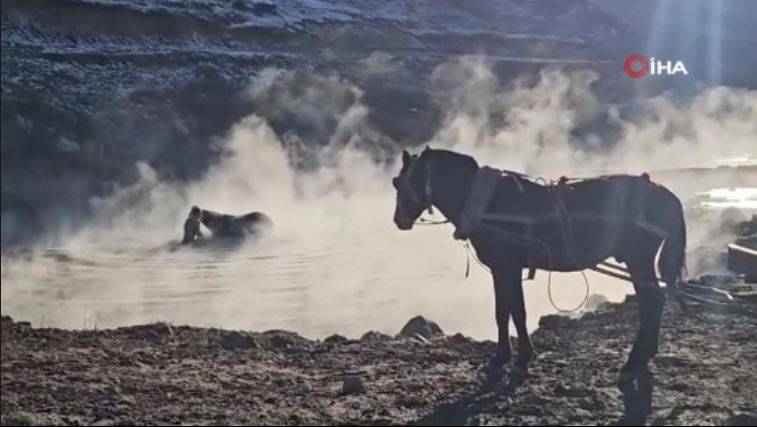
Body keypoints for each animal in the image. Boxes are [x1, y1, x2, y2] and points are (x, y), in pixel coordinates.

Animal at [390, 147, 684, 384]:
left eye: (411, 179)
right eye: (397, 182)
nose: (398, 220)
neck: (487, 201)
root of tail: (662, 192)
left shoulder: (507, 267)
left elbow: (516, 312)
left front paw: (520, 359)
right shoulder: (502, 270)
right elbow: (504, 311)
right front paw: (504, 356)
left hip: (638, 260)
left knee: (652, 302)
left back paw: (633, 363)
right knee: (654, 302)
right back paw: (646, 354)